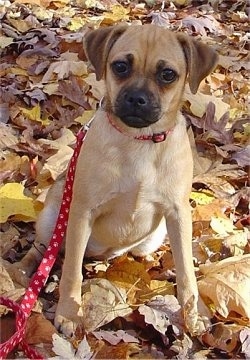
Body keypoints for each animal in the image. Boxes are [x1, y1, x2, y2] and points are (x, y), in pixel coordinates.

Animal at [12, 24, 218, 334]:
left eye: (168, 74)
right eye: (120, 67)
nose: (136, 99)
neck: (139, 141)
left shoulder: (179, 215)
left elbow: (187, 273)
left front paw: (195, 312)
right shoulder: (82, 213)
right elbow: (71, 271)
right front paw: (70, 313)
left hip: (155, 236)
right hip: (53, 217)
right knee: (44, 249)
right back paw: (23, 270)